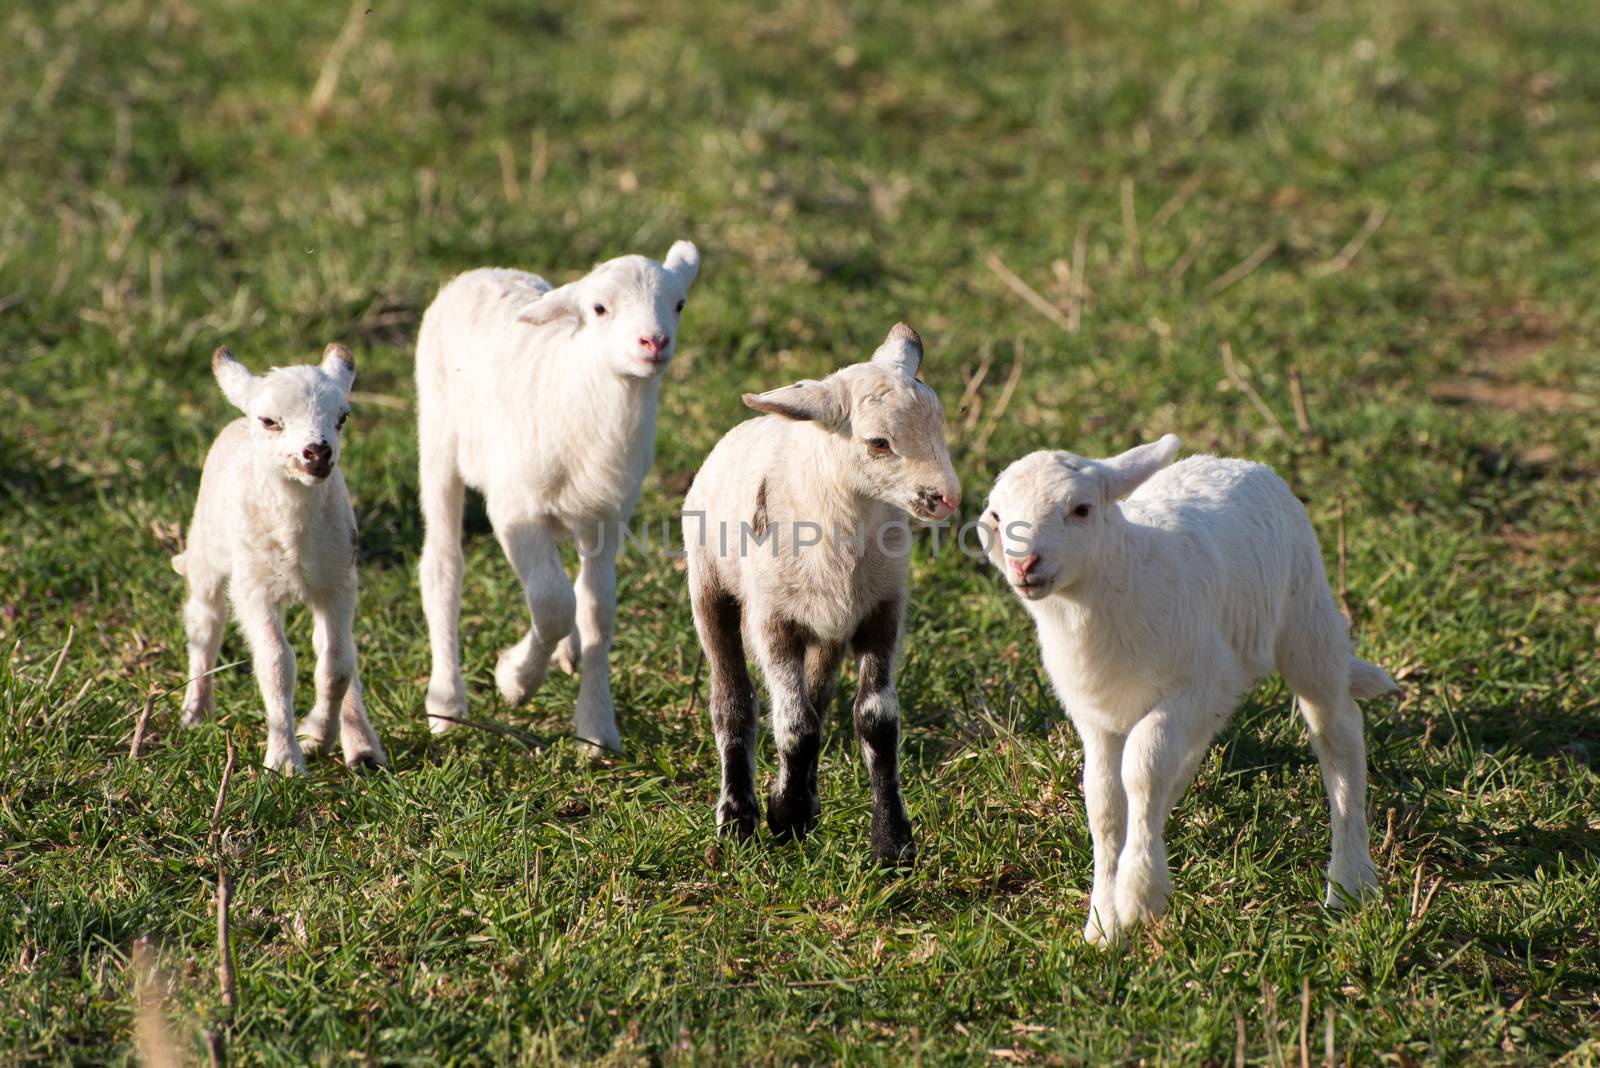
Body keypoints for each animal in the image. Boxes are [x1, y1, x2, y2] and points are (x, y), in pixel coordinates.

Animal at [174, 346, 387, 770]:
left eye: (342, 417)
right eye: (270, 421)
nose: (318, 453)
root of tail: (236, 422)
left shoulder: (338, 584)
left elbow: (336, 666)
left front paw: (319, 736)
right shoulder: (255, 589)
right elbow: (276, 664)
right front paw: (285, 760)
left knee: (341, 652)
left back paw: (362, 746)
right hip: (207, 550)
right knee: (205, 624)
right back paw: (196, 711)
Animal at [419, 239, 700, 751]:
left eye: (679, 304)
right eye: (599, 309)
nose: (654, 343)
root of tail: (483, 271)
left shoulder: (608, 515)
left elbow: (596, 611)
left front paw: (597, 729)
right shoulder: (514, 507)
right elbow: (551, 604)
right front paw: (515, 680)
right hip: (437, 439)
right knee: (444, 566)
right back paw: (446, 704)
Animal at [678, 326, 953, 869]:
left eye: (939, 423)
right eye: (878, 443)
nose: (947, 498)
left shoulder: (883, 610)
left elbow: (875, 720)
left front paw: (891, 843)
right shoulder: (772, 620)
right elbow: (794, 725)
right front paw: (784, 816)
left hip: (828, 626)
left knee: (819, 696)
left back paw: (805, 795)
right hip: (710, 586)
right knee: (733, 700)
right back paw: (737, 817)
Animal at [979, 438, 1395, 946]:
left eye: (1080, 509)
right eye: (997, 516)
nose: (1024, 564)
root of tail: (1238, 462)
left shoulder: (1200, 682)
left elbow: (1142, 766)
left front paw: (1139, 894)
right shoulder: (1095, 715)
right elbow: (1104, 802)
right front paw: (1103, 921)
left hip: (1304, 615)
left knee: (1337, 730)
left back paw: (1351, 883)